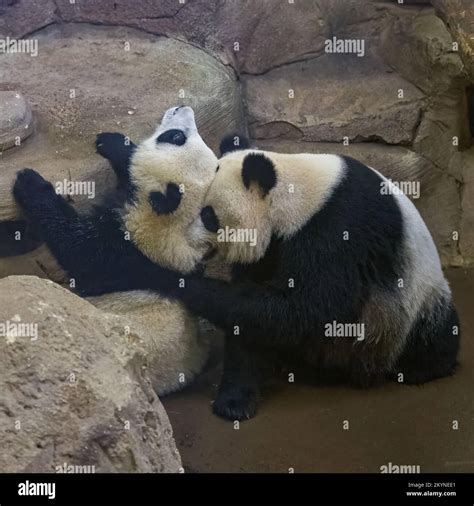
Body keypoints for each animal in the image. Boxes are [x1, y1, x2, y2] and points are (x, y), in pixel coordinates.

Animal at [12, 105, 219, 396]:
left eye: (175, 137)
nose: (183, 107)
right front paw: (113, 143)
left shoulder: (117, 252)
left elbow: (75, 245)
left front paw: (30, 183)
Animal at [110, 136, 460, 422]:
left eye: (208, 215)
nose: (193, 240)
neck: (301, 193)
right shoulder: (271, 247)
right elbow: (250, 316)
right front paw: (234, 401)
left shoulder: (339, 227)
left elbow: (307, 308)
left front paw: (148, 270)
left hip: (413, 295)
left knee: (435, 328)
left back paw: (423, 367)